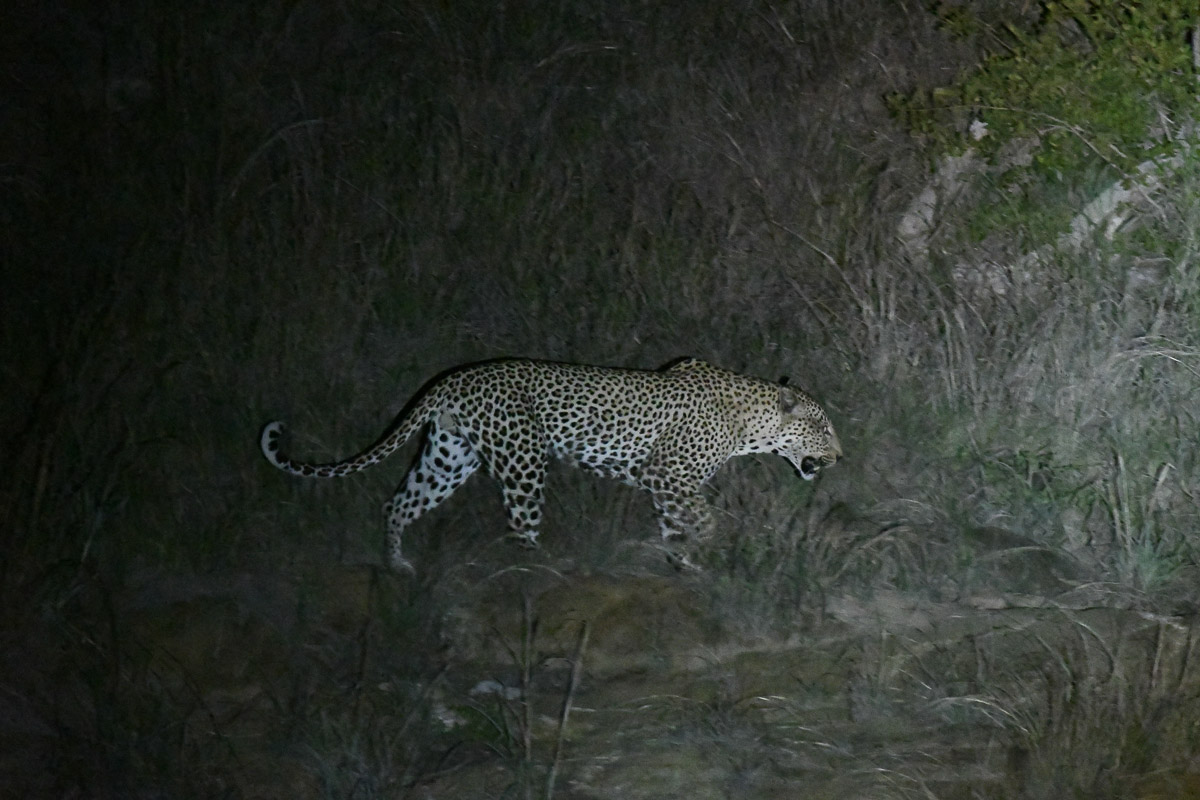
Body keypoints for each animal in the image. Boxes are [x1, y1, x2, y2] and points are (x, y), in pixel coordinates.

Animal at [259, 357, 841, 572]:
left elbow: (678, 525)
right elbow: (706, 520)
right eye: (824, 427)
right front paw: (703, 552)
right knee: (521, 529)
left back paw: (397, 564)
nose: (840, 456)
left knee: (398, 501)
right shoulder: (667, 474)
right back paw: (541, 576)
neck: (754, 422)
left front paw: (682, 561)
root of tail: (453, 379)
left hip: (449, 457)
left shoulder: (666, 485)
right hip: (522, 462)